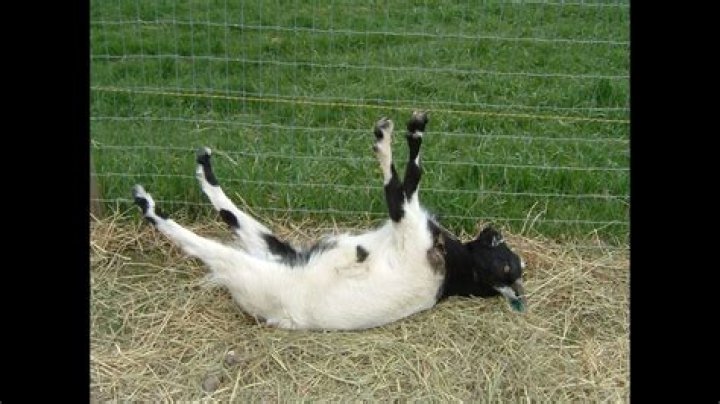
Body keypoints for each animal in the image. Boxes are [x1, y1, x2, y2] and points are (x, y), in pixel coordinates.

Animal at [132, 112, 526, 330]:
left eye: (505, 262)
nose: (493, 230)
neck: (454, 270)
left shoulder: (407, 223)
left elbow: (403, 181)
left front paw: (390, 137)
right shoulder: (406, 222)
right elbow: (410, 178)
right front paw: (412, 129)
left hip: (254, 269)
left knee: (203, 244)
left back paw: (148, 203)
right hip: (280, 249)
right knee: (231, 213)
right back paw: (203, 168)